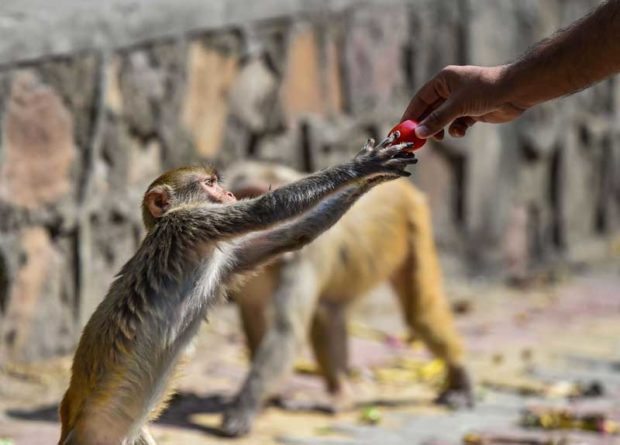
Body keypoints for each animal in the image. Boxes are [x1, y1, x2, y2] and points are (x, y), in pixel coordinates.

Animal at [58, 136, 416, 444]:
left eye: (218, 182)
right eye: (209, 184)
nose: (229, 194)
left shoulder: (226, 260)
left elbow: (292, 236)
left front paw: (373, 179)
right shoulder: (190, 225)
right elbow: (267, 210)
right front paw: (363, 166)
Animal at [219, 160, 470, 438]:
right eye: (247, 194)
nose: (268, 228)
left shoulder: (305, 257)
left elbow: (286, 330)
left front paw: (245, 407)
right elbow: (253, 314)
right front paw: (265, 399)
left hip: (413, 221)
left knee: (420, 314)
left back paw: (460, 378)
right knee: (330, 313)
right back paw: (342, 392)